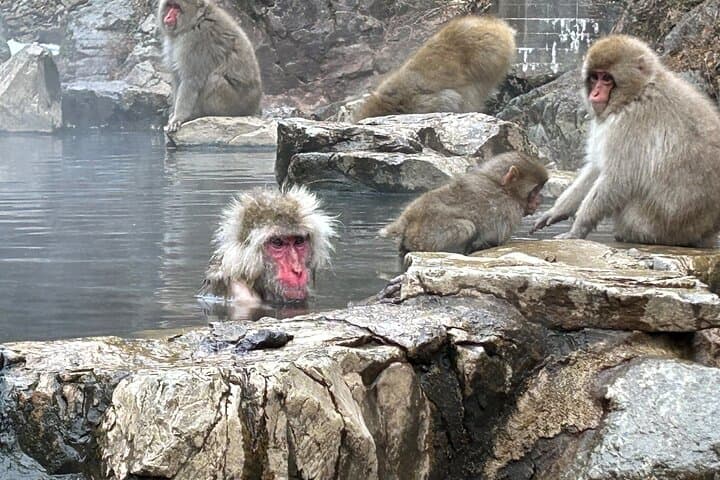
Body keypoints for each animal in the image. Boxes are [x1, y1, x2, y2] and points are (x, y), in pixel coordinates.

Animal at [158, 0, 262, 133]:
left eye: (177, 7)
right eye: (170, 6)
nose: (168, 17)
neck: (195, 21)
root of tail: (254, 107)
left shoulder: (196, 40)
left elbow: (191, 80)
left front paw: (178, 118)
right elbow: (177, 77)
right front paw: (173, 114)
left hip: (236, 104)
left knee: (215, 79)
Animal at [380, 151, 548, 255]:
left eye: (540, 189)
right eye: (535, 190)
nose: (539, 201)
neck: (501, 186)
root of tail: (408, 217)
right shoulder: (509, 210)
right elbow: (493, 238)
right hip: (427, 237)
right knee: (467, 228)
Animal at [532, 35, 720, 247]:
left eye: (606, 78)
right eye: (595, 77)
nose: (594, 94)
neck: (636, 93)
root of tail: (707, 231)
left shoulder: (631, 123)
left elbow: (617, 178)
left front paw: (577, 229)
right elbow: (596, 168)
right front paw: (556, 211)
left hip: (655, 226)